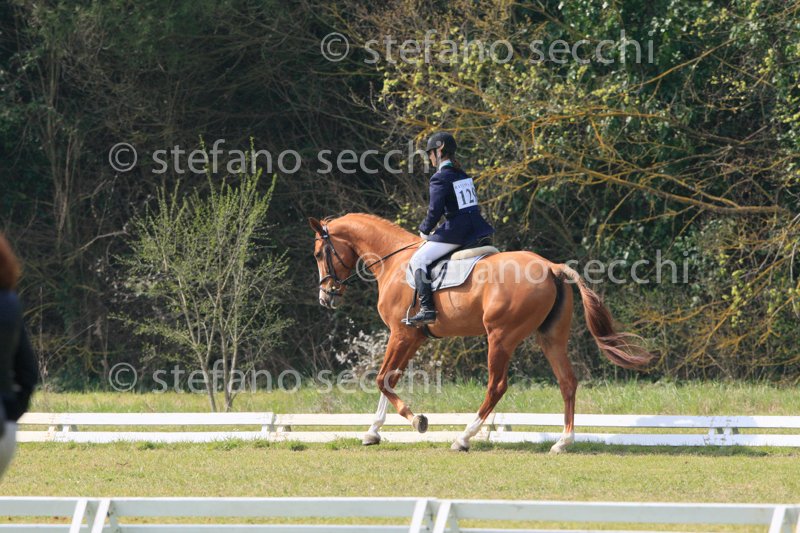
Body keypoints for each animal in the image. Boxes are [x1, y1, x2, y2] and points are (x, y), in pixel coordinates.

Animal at [309, 213, 653, 452]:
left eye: (318, 254)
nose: (325, 297)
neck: (393, 260)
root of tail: (552, 267)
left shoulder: (401, 333)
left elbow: (382, 379)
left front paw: (417, 420)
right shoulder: (413, 336)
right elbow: (390, 379)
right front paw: (372, 432)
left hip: (500, 337)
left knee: (496, 386)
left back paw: (464, 437)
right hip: (550, 337)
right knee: (567, 382)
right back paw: (562, 442)